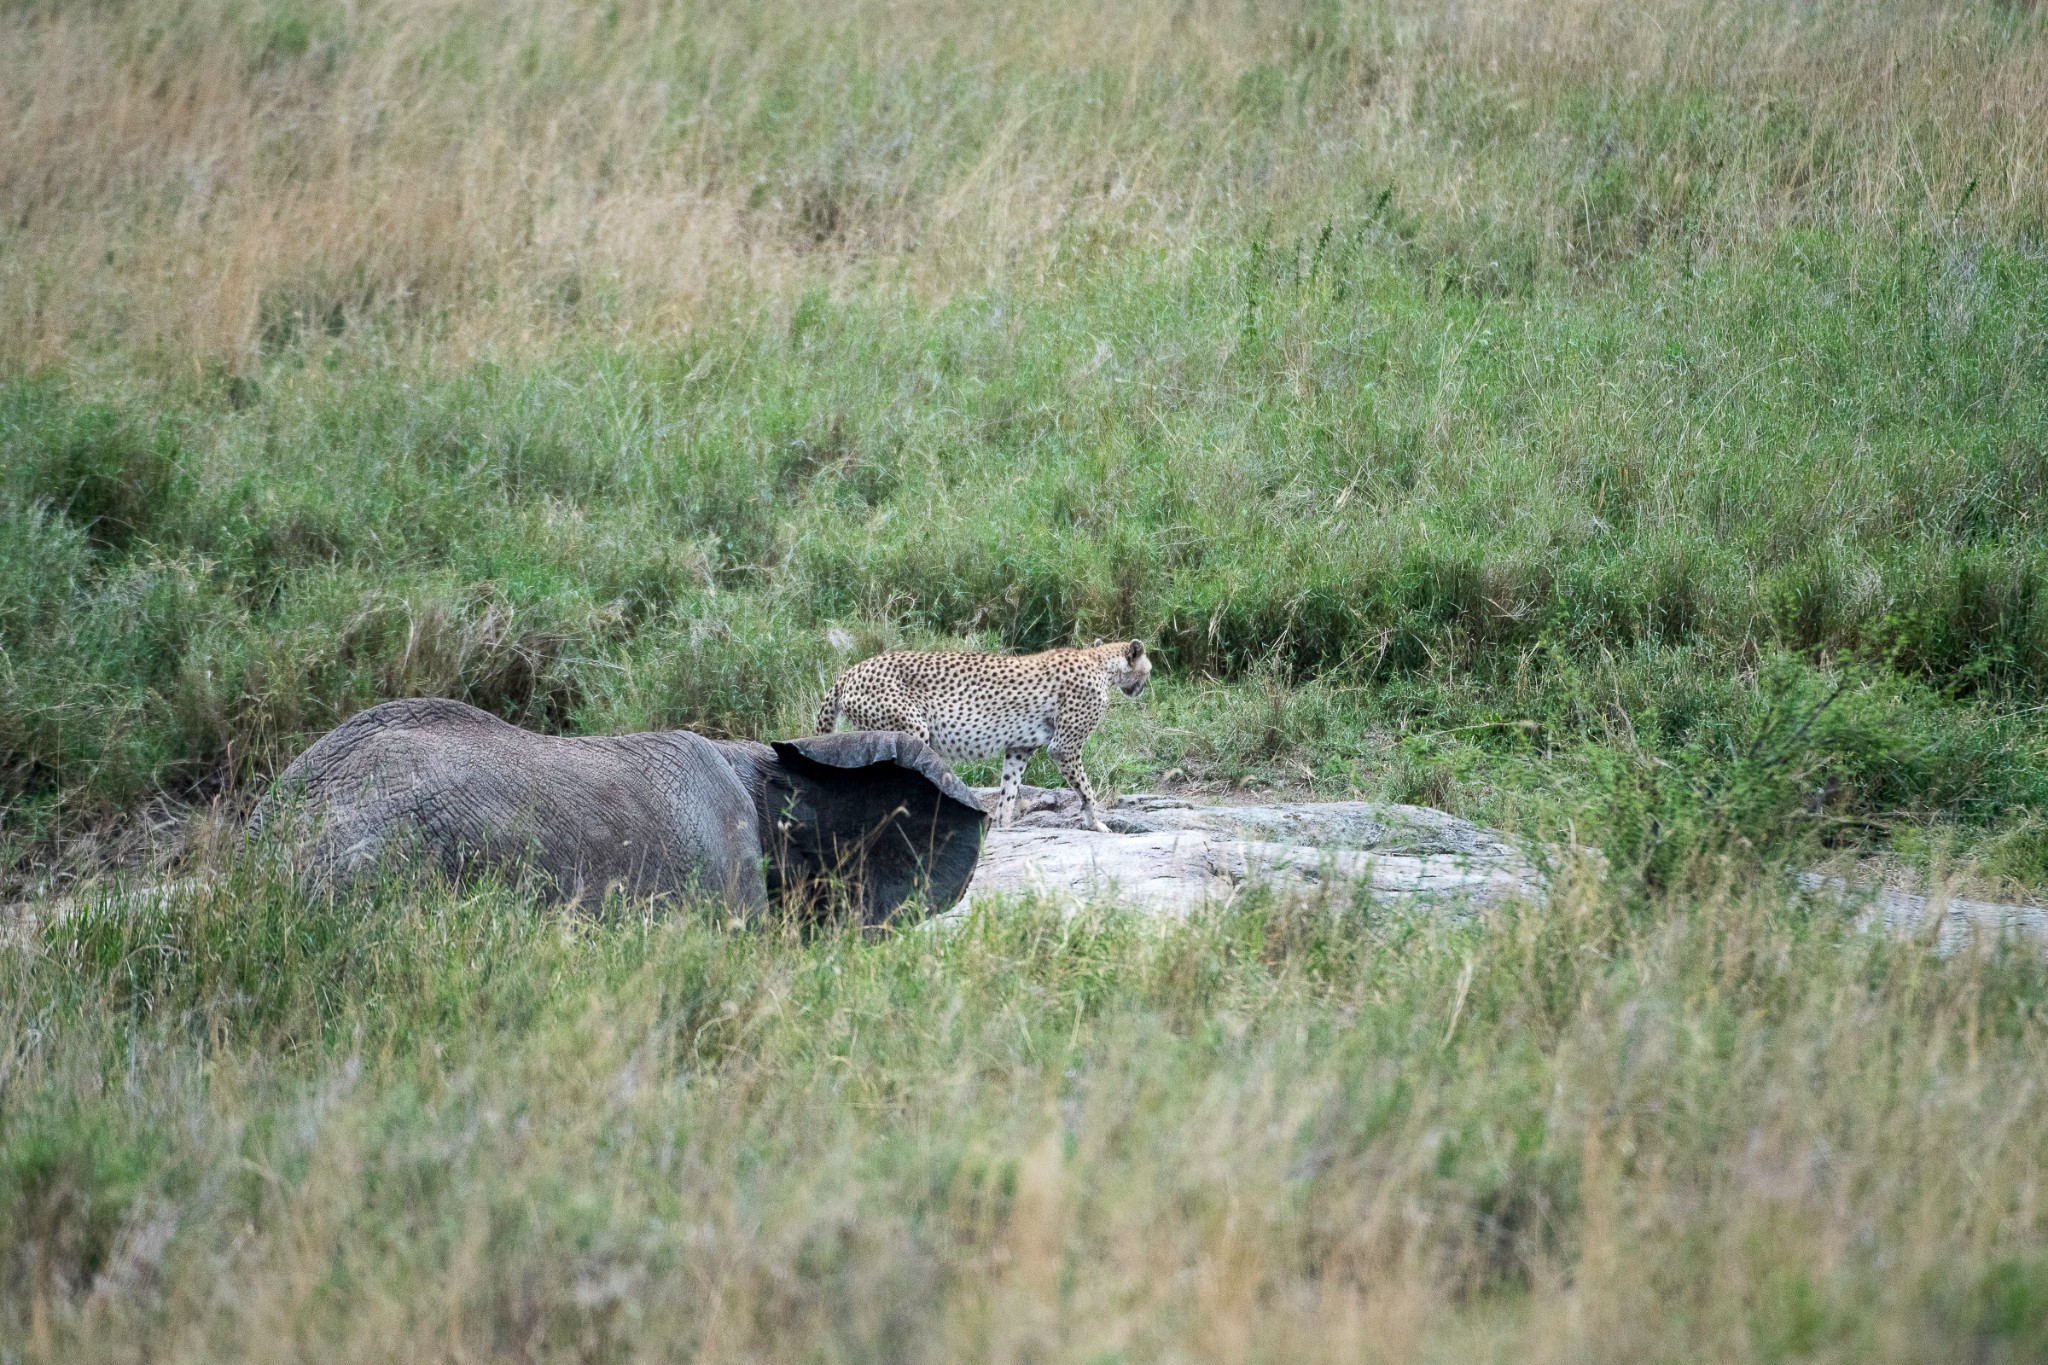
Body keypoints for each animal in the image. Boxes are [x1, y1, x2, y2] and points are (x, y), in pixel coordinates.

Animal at [806, 642, 1155, 834]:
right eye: (1149, 669)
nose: (1142, 688)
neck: (1100, 663)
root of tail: (851, 671)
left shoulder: (1019, 747)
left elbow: (1009, 790)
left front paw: (1004, 826)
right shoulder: (1064, 747)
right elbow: (1086, 789)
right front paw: (1097, 823)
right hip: (912, 730)